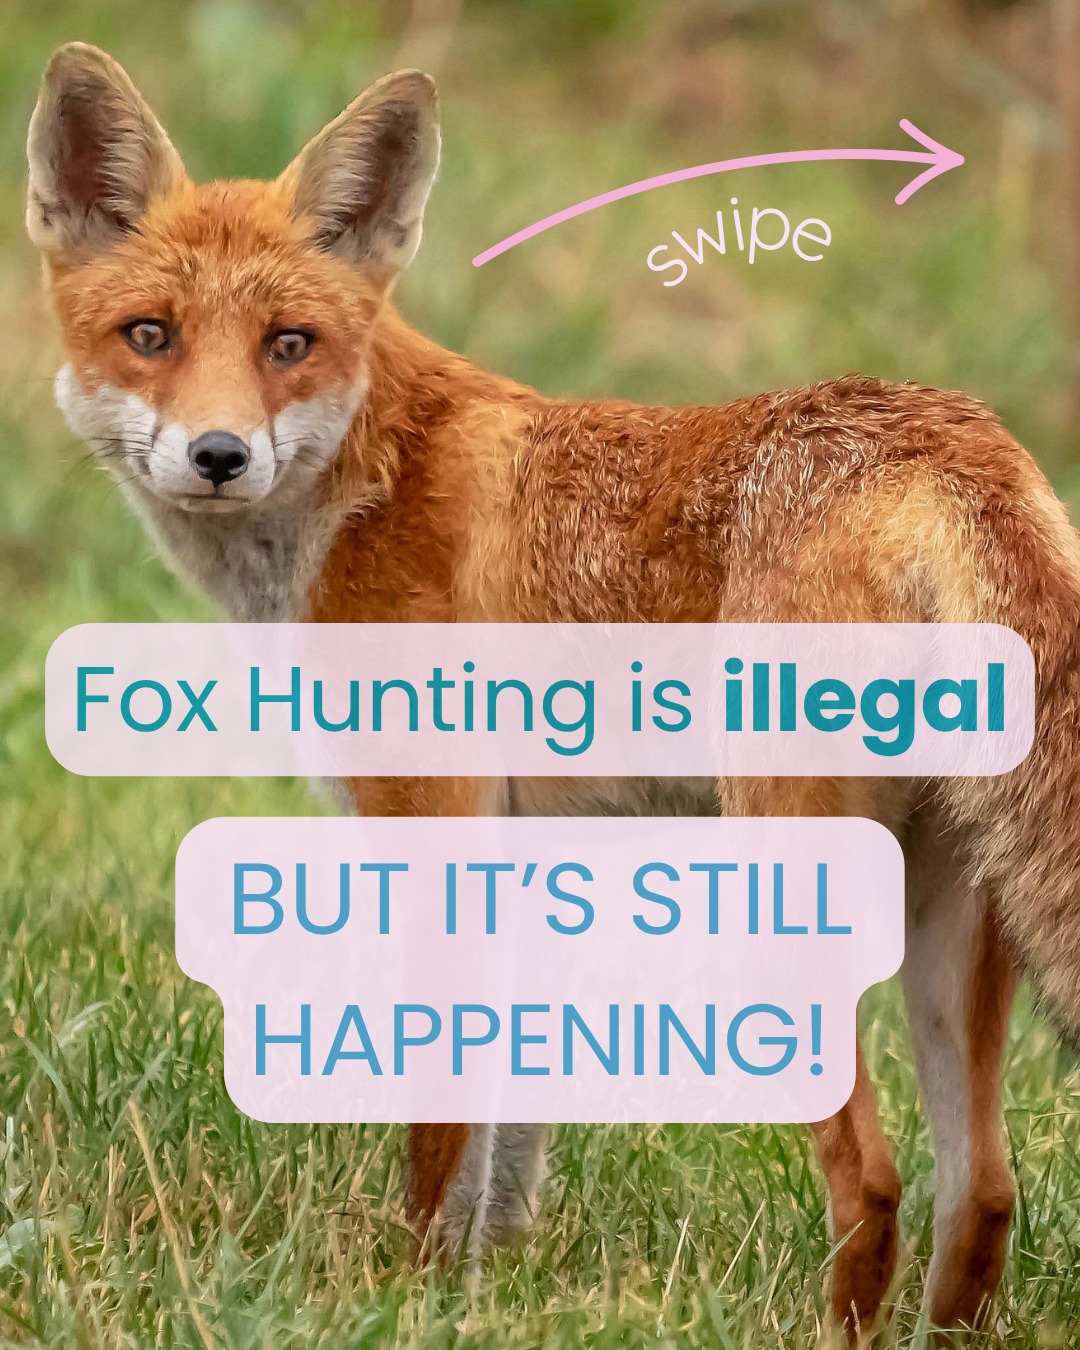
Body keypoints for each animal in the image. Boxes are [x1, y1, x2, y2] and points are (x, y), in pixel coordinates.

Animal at [26, 40, 1080, 1341]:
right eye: (151, 334)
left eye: (288, 343)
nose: (218, 456)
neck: (366, 487)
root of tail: (953, 440)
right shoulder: (520, 856)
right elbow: (508, 1141)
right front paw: (491, 1288)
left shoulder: (431, 827)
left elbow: (439, 1128)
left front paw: (408, 1290)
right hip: (955, 916)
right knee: (981, 1192)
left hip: (797, 877)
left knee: (873, 1177)